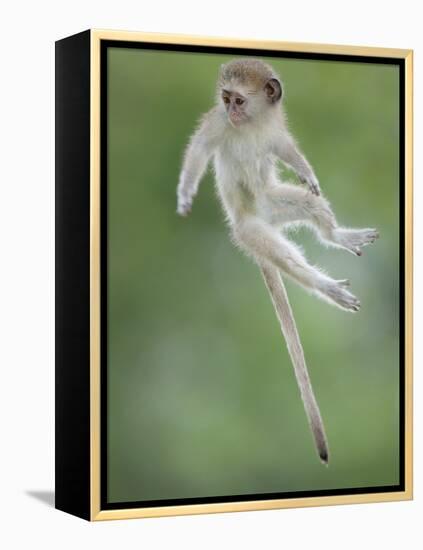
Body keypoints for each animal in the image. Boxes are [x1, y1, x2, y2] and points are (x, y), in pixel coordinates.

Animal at [177, 59, 380, 466]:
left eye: (239, 99)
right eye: (226, 99)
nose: (231, 111)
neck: (251, 124)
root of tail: (260, 218)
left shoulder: (274, 130)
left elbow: (286, 149)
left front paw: (306, 171)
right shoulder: (217, 123)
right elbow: (201, 148)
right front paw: (186, 192)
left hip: (275, 201)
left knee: (312, 204)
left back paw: (337, 236)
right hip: (251, 231)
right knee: (282, 255)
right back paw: (325, 285)